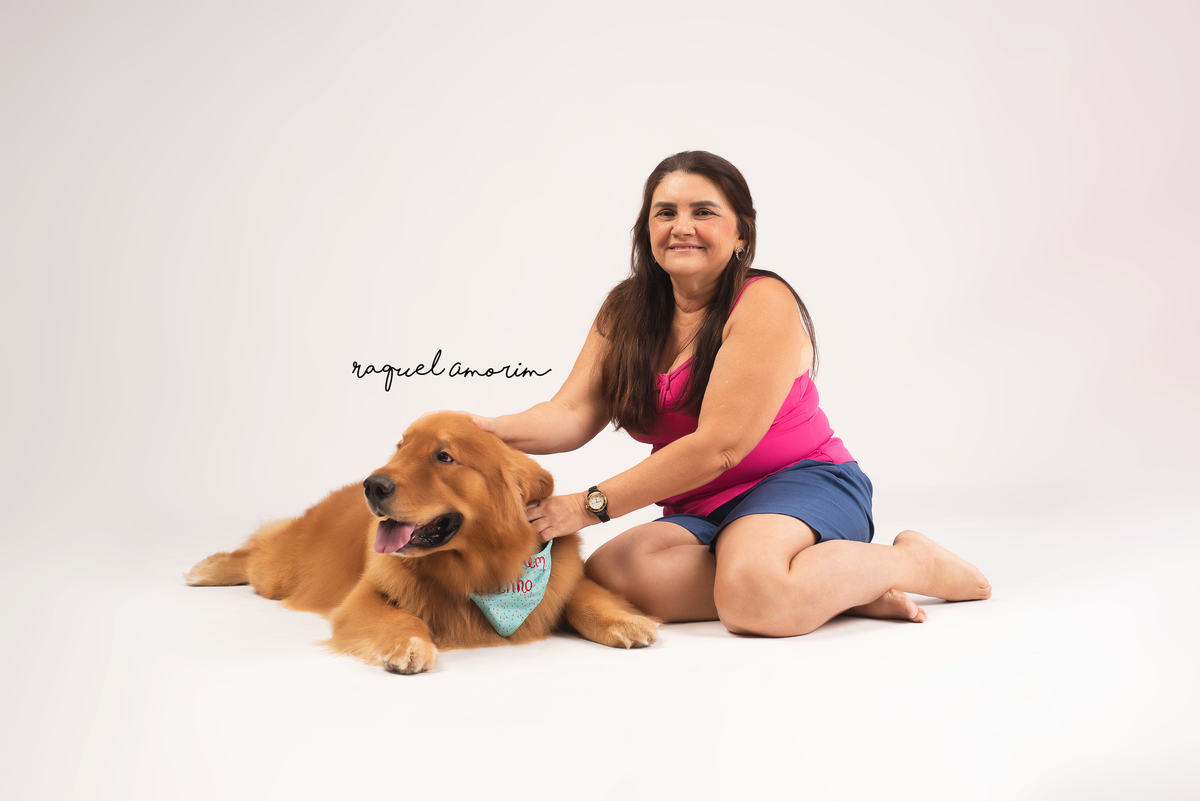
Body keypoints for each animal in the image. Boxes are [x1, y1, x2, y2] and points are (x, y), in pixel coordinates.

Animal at [186, 412, 658, 673]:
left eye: (443, 457)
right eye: (400, 448)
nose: (372, 485)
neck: (475, 569)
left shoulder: (558, 573)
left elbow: (586, 596)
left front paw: (624, 621)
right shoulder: (363, 597)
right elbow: (402, 620)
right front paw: (409, 646)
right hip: (280, 571)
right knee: (257, 550)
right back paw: (207, 568)